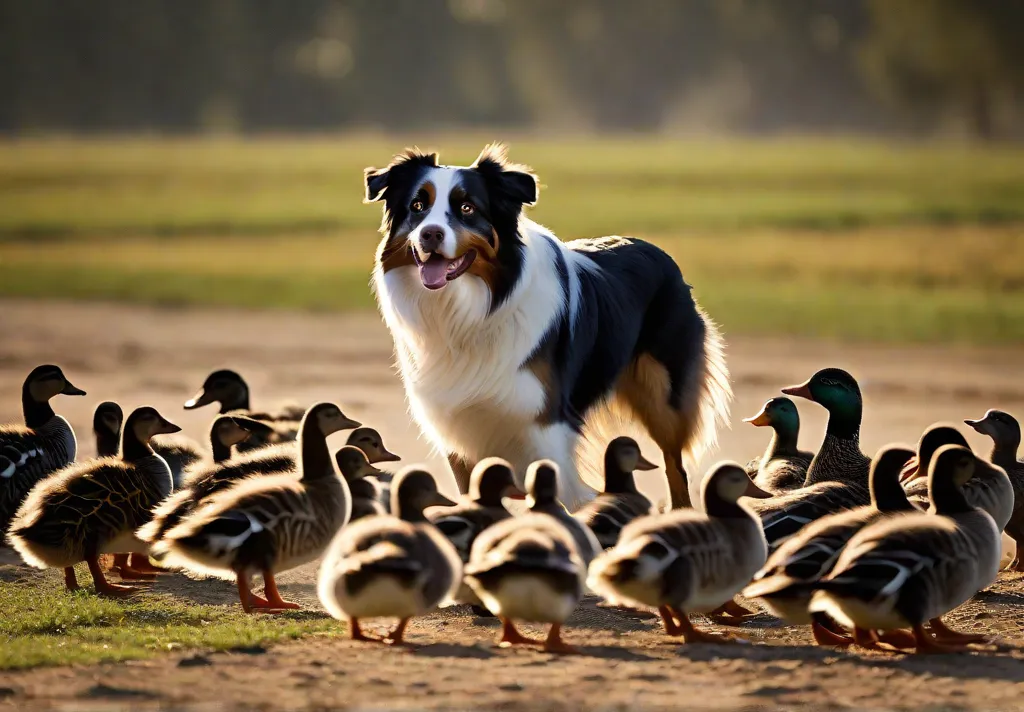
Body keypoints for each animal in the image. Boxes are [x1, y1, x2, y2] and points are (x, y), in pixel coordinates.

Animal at [364, 144, 733, 510]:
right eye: (417, 207)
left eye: (467, 208)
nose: (430, 234)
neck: (467, 311)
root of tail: (657, 250)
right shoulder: (458, 428)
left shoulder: (546, 425)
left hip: (665, 398)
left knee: (676, 470)